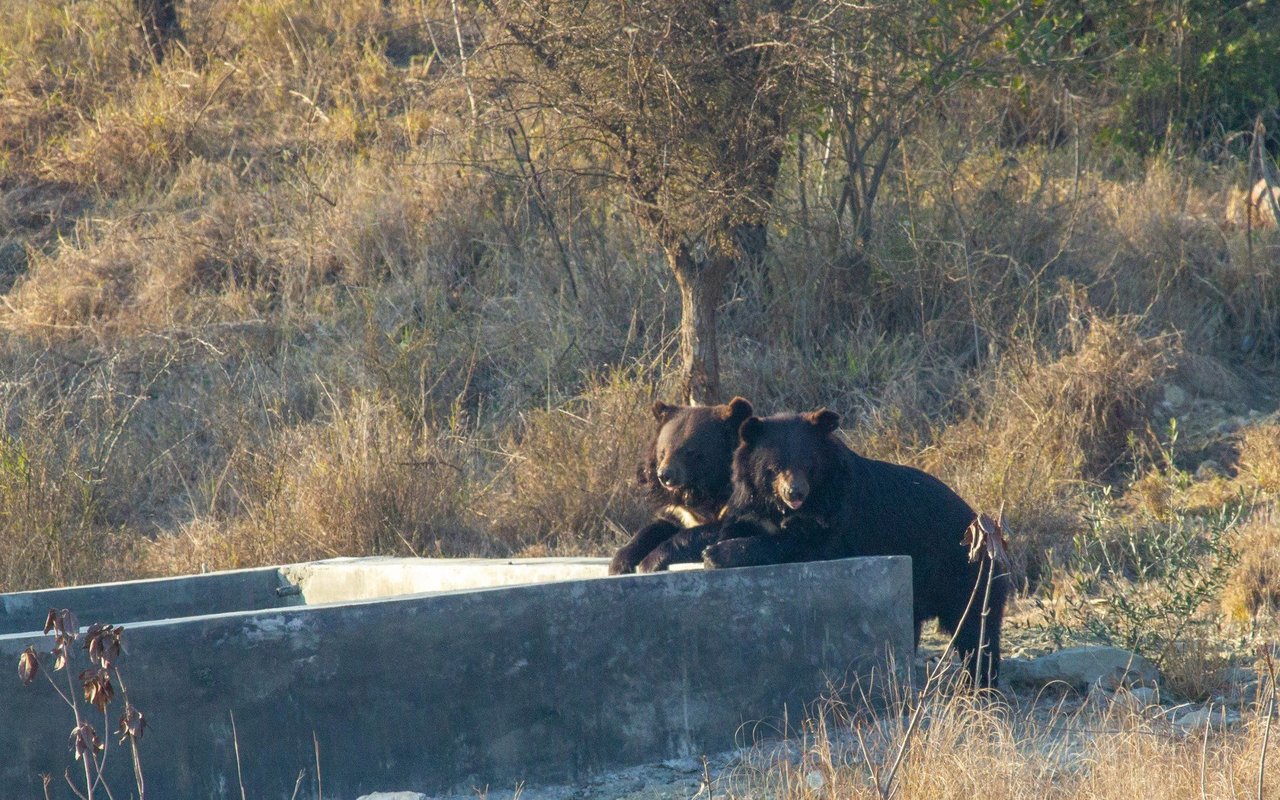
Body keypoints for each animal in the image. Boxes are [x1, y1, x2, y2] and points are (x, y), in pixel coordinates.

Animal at [606, 396, 752, 573]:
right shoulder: (679, 511)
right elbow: (655, 527)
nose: (664, 475)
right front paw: (619, 562)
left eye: (690, 451)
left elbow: (714, 530)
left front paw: (649, 562)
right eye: (662, 451)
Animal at [706, 409, 1003, 680]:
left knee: (976, 632)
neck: (783, 507)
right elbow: (738, 524)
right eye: (775, 467)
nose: (795, 492)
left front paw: (714, 554)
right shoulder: (750, 504)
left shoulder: (836, 512)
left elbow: (805, 544)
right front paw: (716, 545)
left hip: (963, 576)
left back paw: (979, 683)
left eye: (808, 463)